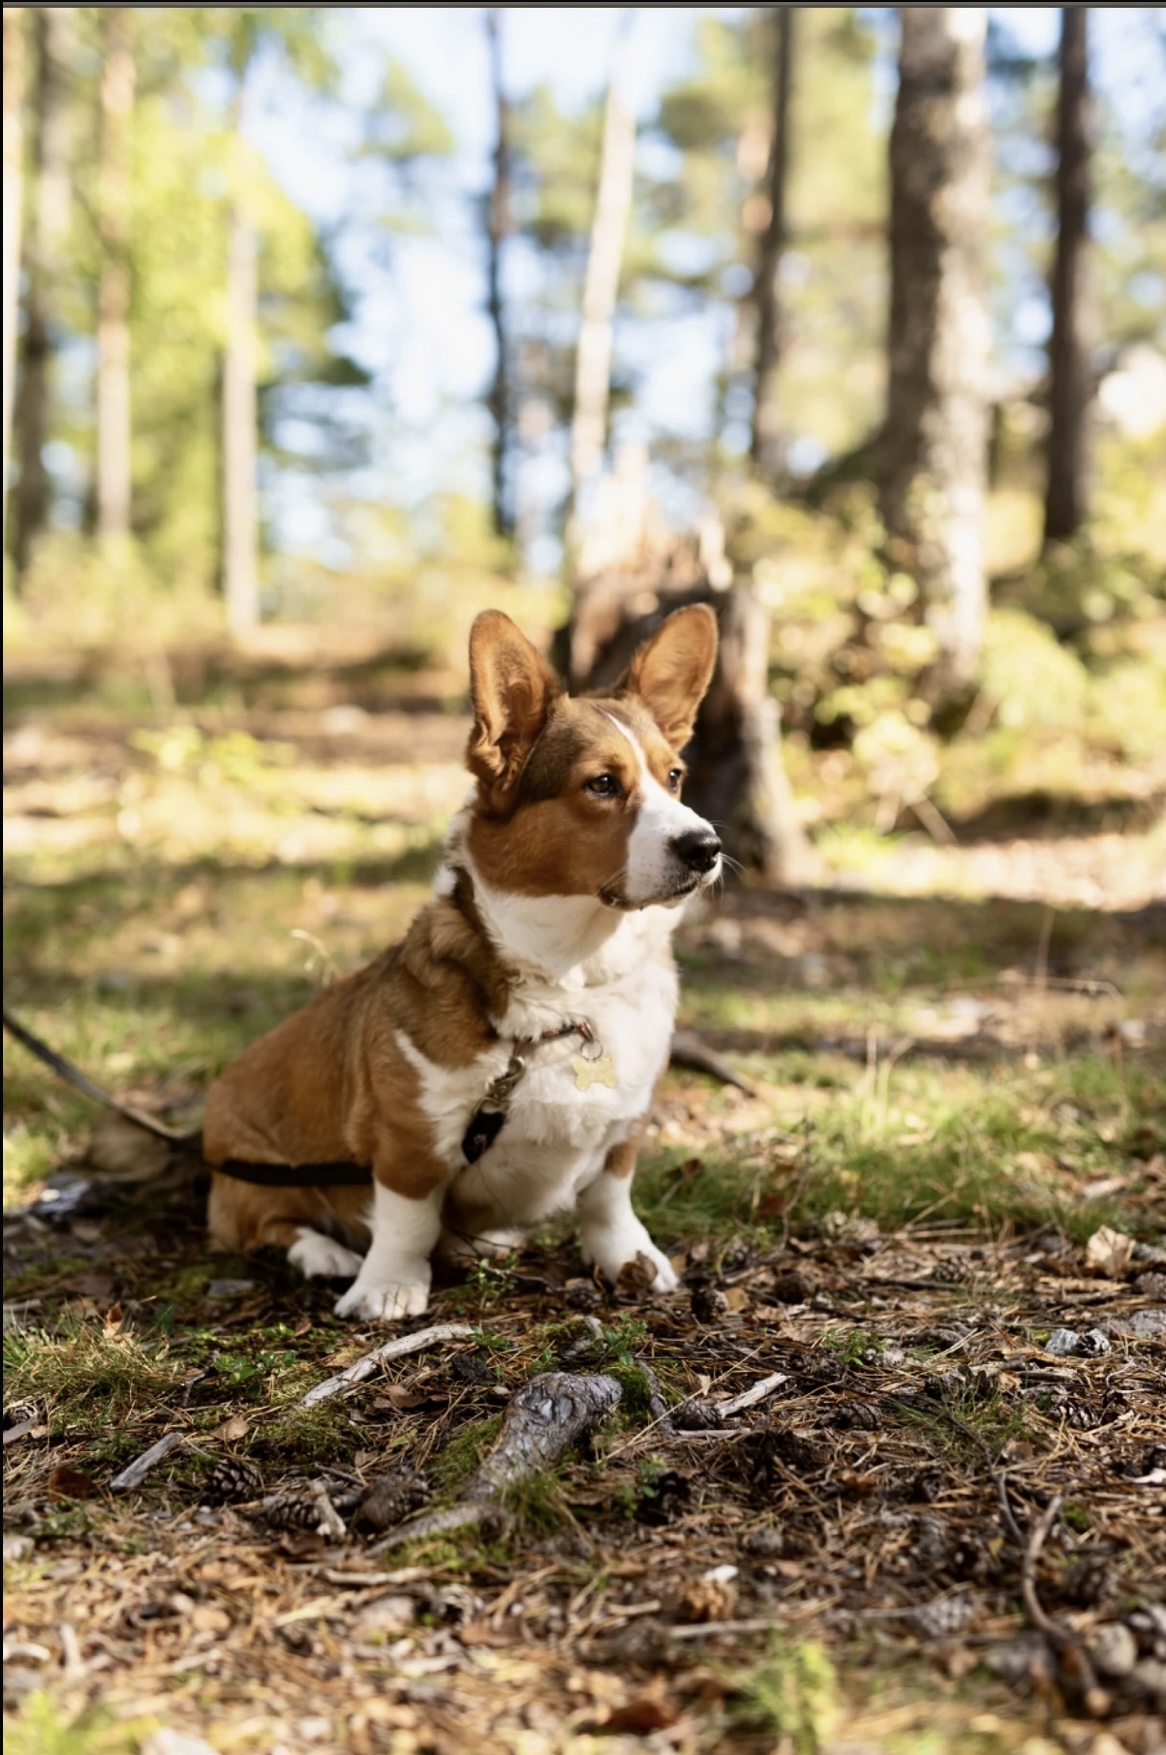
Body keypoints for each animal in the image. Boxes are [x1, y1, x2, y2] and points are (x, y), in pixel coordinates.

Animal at [204, 610, 723, 1319]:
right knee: (270, 1225)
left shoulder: (625, 1127)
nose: (708, 847)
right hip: (254, 1175)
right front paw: (389, 1287)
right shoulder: (410, 1137)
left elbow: (609, 1201)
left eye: (674, 777)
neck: (574, 981)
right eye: (602, 784)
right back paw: (327, 1255)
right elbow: (408, 1219)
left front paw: (631, 1262)